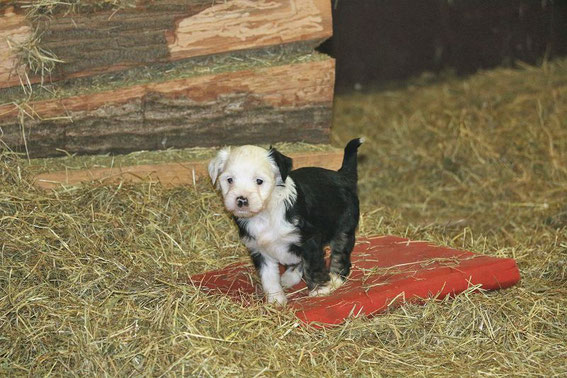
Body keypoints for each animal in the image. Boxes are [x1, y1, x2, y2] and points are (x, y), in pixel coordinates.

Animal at [209, 138, 364, 304]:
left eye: (259, 181)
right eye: (229, 180)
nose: (241, 200)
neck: (265, 214)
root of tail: (341, 175)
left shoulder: (309, 240)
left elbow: (312, 266)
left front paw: (319, 291)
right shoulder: (259, 249)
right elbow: (269, 276)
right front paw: (275, 300)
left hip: (344, 228)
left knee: (340, 255)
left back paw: (335, 279)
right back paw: (290, 277)